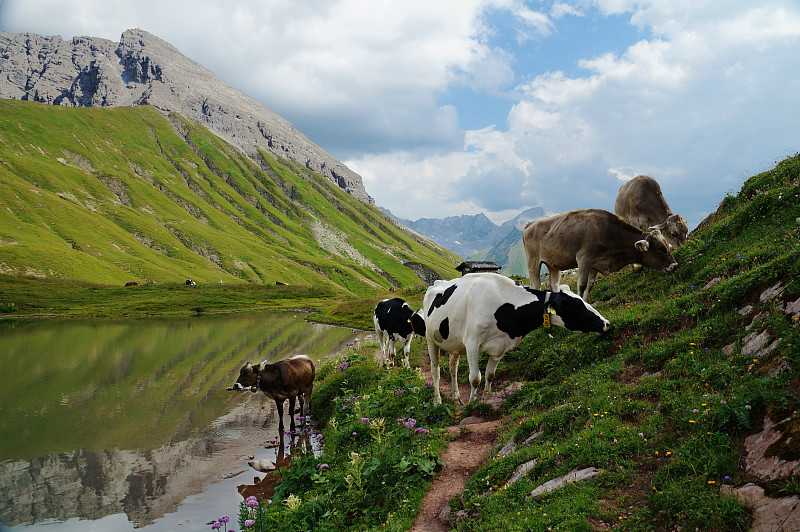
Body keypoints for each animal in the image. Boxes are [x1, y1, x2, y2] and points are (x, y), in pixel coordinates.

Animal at [424, 274, 608, 404]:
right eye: (575, 307)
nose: (606, 323)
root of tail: (436, 283)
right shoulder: (472, 344)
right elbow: (475, 378)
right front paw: (472, 403)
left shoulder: (500, 347)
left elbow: (490, 375)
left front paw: (487, 397)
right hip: (431, 339)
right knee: (436, 371)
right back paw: (437, 401)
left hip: (454, 343)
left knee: (452, 368)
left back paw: (456, 396)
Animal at [520, 208, 680, 302]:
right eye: (661, 248)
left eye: (668, 245)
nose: (675, 266)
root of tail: (530, 224)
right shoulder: (584, 259)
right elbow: (582, 285)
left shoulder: (595, 264)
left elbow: (590, 285)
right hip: (533, 261)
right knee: (536, 286)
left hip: (553, 264)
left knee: (554, 285)